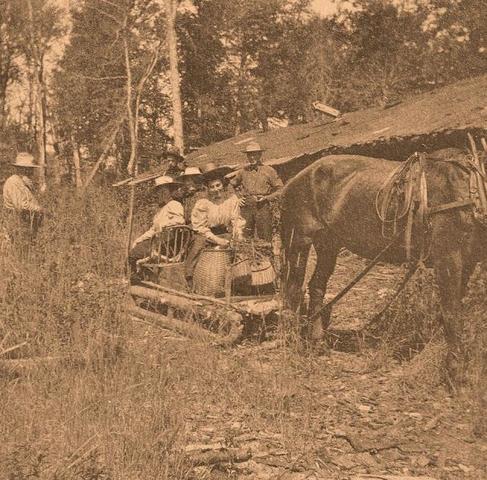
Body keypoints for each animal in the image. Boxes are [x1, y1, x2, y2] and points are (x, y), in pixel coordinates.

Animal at [280, 148, 487, 383]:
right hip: (299, 240)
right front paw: (455, 371)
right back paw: (292, 343)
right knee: (293, 290)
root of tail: (292, 181)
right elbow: (452, 313)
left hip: (328, 243)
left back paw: (317, 341)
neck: (469, 187)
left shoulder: (468, 261)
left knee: (316, 286)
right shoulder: (448, 257)